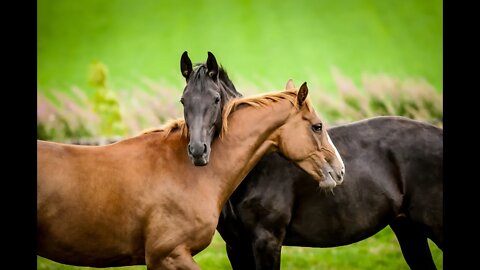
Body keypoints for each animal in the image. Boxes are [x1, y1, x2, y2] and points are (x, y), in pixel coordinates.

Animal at [179, 51, 442, 268]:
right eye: (184, 101)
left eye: (215, 99)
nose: (198, 151)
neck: (254, 170)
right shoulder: (236, 246)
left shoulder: (266, 242)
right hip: (409, 230)